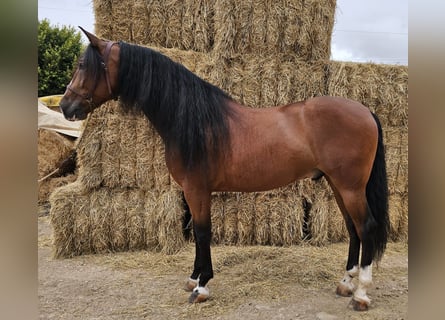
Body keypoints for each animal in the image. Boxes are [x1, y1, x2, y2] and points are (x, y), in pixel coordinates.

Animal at [59, 28, 388, 312]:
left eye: (83, 65)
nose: (65, 106)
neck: (193, 121)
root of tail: (366, 111)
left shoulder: (197, 189)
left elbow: (203, 232)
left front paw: (201, 287)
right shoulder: (190, 191)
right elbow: (196, 232)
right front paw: (193, 278)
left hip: (349, 186)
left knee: (367, 228)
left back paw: (360, 294)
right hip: (337, 184)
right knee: (353, 229)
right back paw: (346, 283)